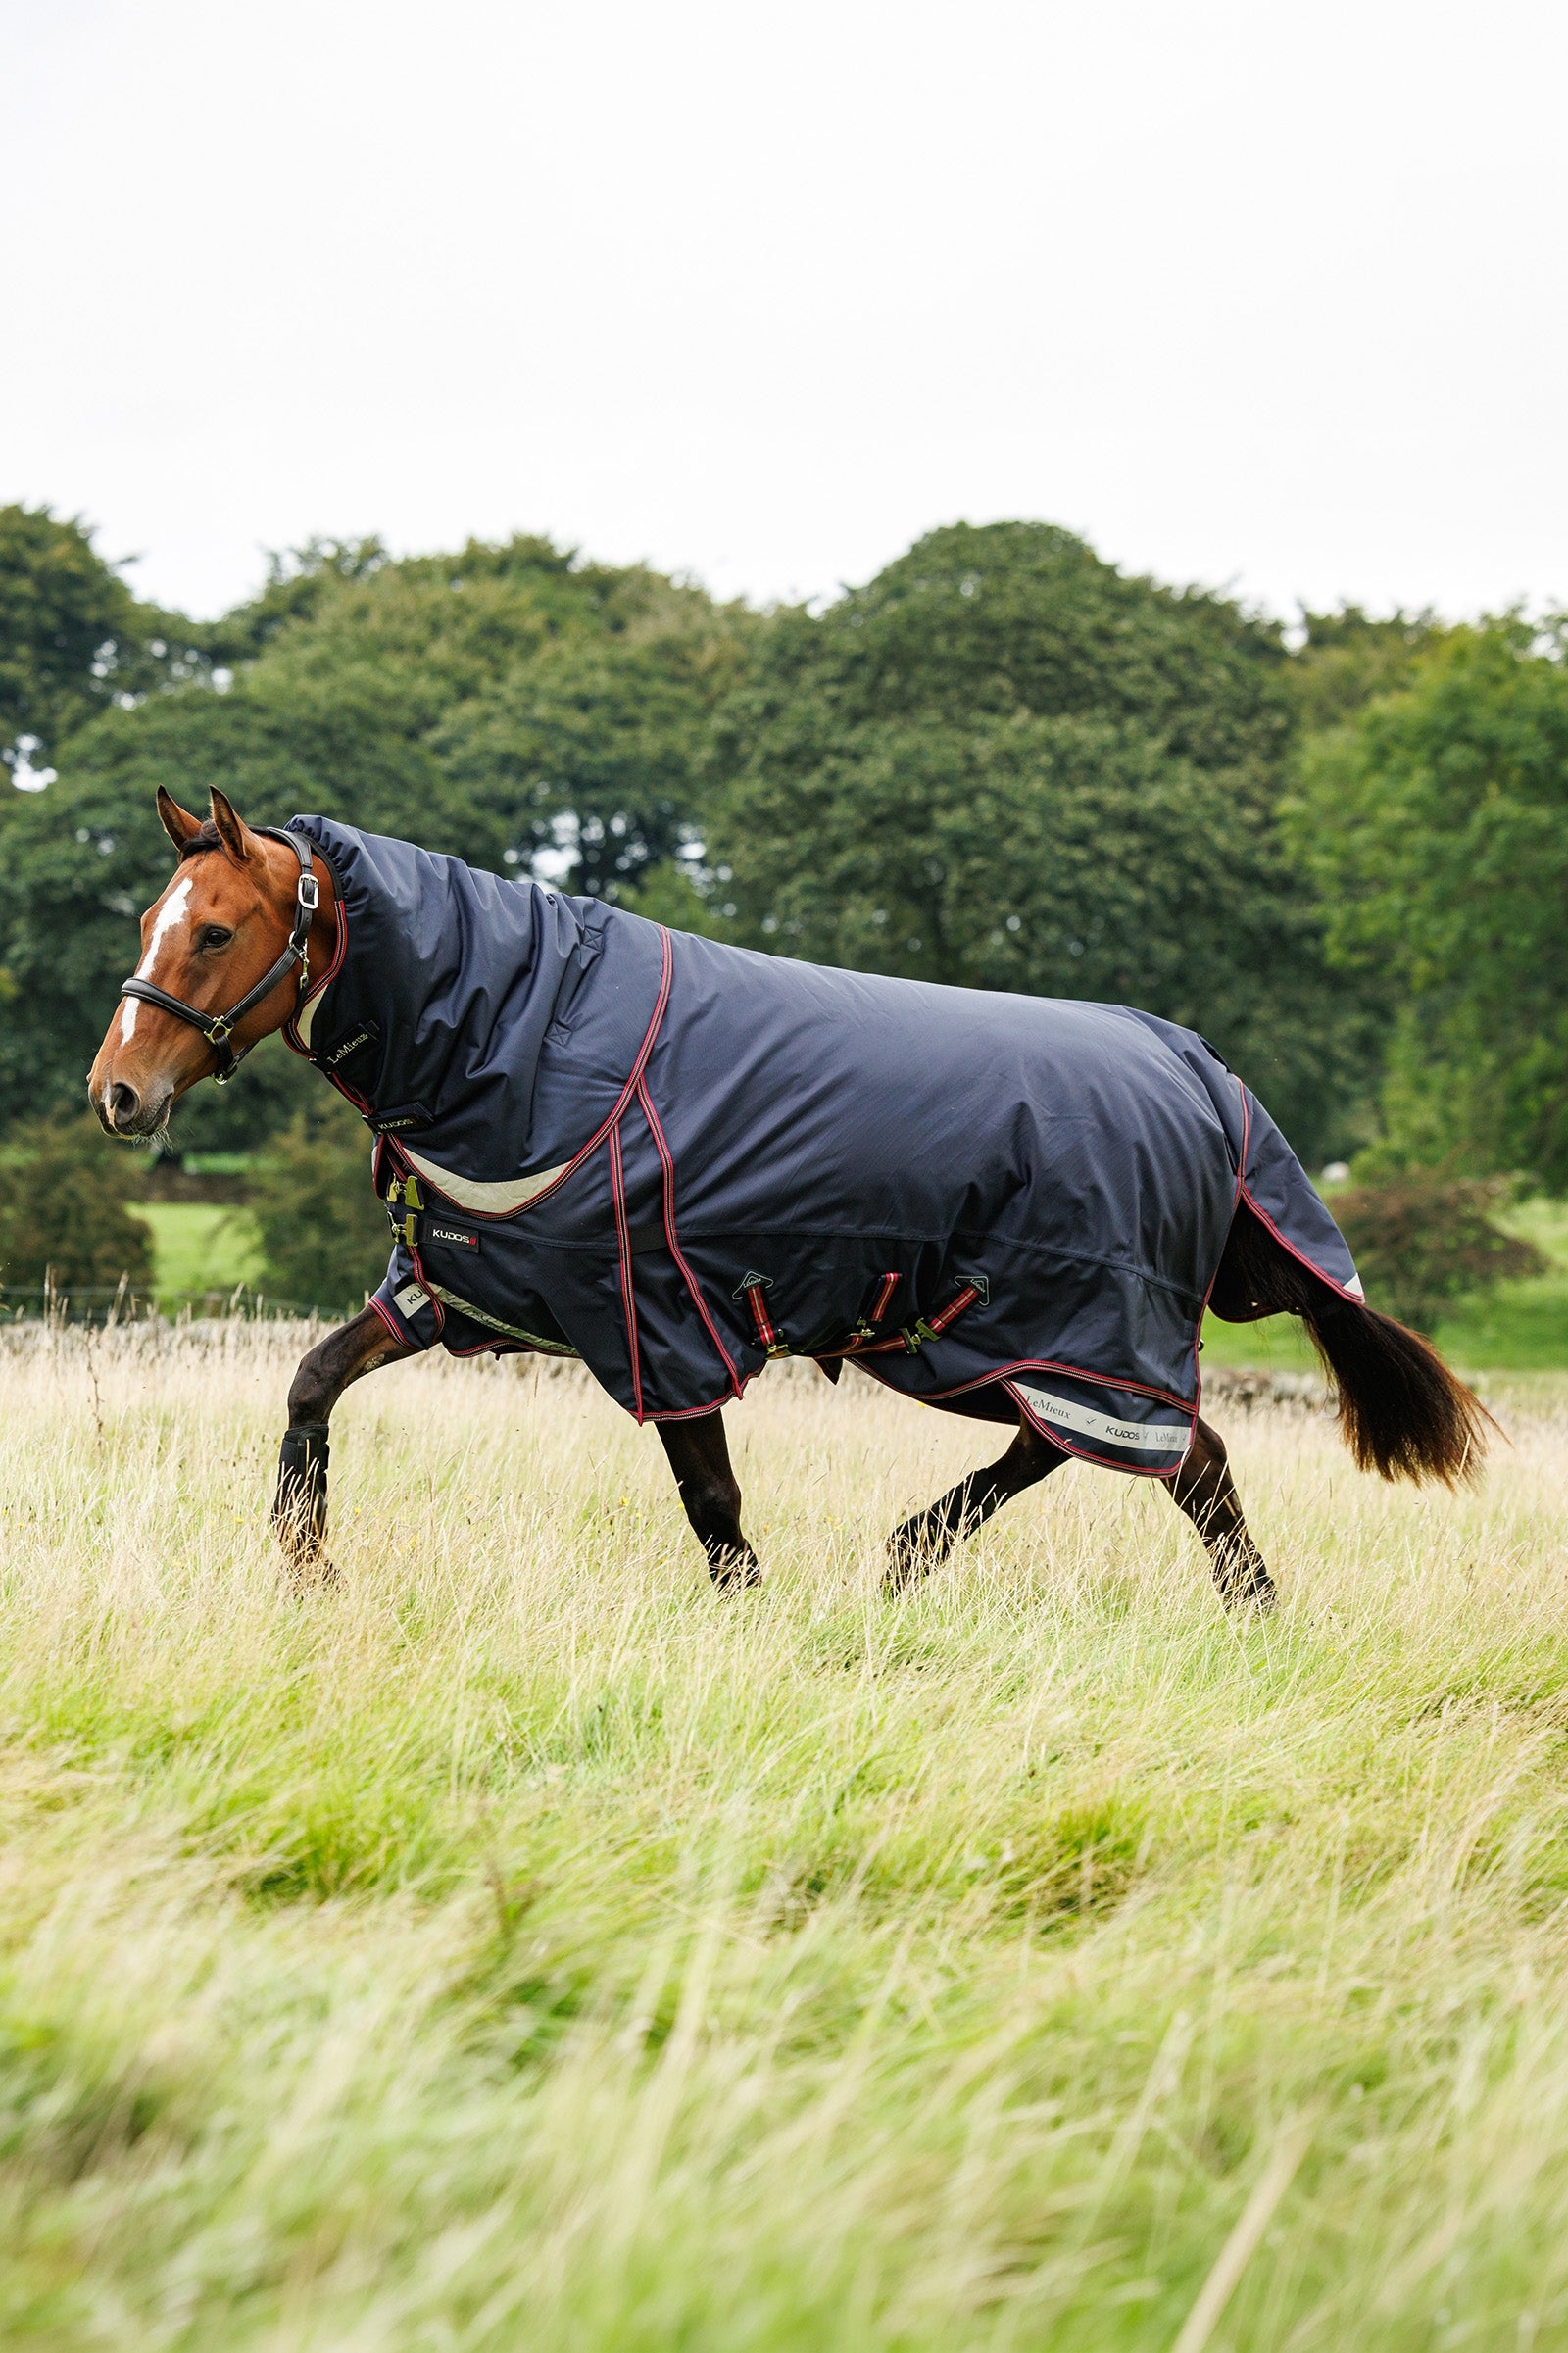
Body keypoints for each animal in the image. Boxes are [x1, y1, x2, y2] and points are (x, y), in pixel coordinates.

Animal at [89, 787, 1489, 1606]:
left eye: (214, 931)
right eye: (152, 917)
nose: (118, 1092)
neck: (530, 1038)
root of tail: (1204, 1077)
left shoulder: (661, 1321)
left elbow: (710, 1499)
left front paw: (749, 1615)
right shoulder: (466, 1291)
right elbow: (313, 1379)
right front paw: (306, 1558)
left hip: (1061, 1330)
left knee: (1172, 1458)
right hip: (990, 1335)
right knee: (1126, 1454)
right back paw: (934, 1558)